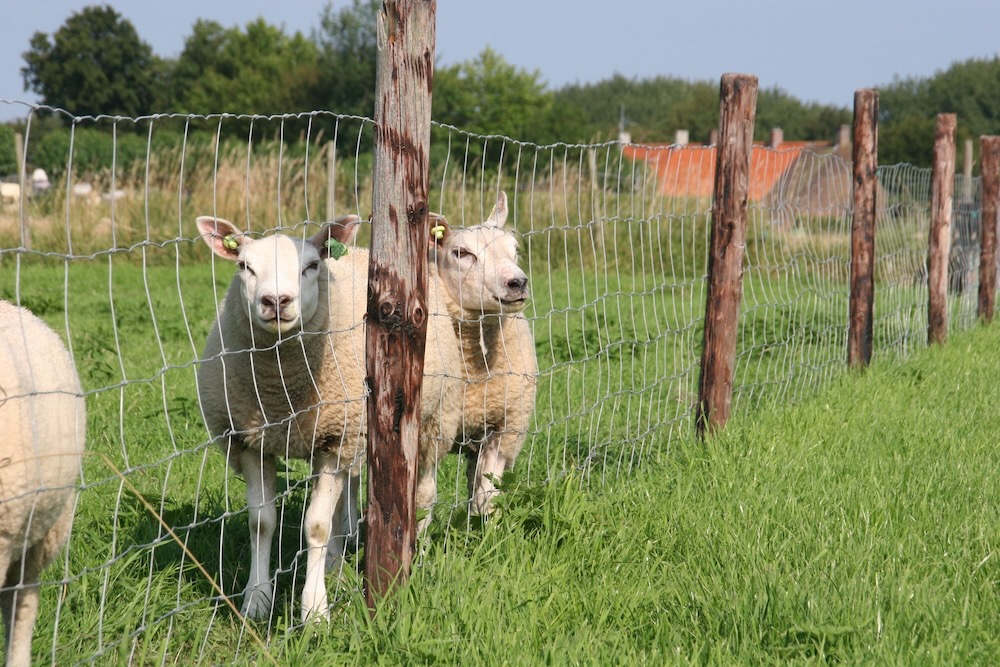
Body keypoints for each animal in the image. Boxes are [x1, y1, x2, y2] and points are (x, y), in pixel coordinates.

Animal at [196, 215, 461, 622]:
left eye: (310, 266)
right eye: (244, 266)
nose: (275, 301)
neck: (281, 392)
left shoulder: (336, 441)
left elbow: (317, 527)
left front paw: (314, 610)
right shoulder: (252, 441)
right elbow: (261, 523)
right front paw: (256, 599)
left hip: (434, 420)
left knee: (425, 493)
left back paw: (417, 552)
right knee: (348, 491)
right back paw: (338, 558)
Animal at [429, 191, 538, 517]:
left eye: (515, 249)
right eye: (462, 253)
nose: (517, 283)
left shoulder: (505, 429)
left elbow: (488, 494)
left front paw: (485, 527)